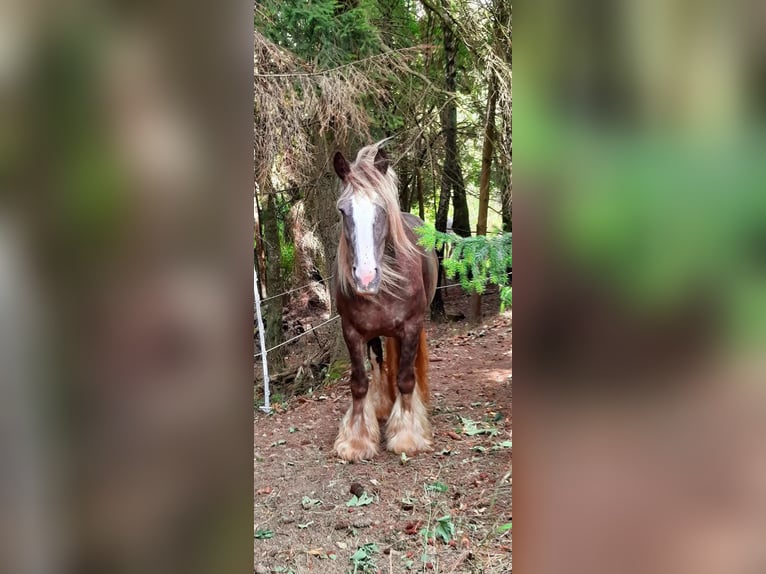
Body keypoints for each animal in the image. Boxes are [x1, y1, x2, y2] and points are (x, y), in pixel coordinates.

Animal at [332, 144, 440, 464]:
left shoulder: (412, 327)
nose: (366, 277)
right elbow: (359, 383)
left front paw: (407, 436)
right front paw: (356, 440)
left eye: (381, 209)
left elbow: (405, 379)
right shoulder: (352, 331)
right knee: (379, 363)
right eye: (343, 210)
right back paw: (381, 407)